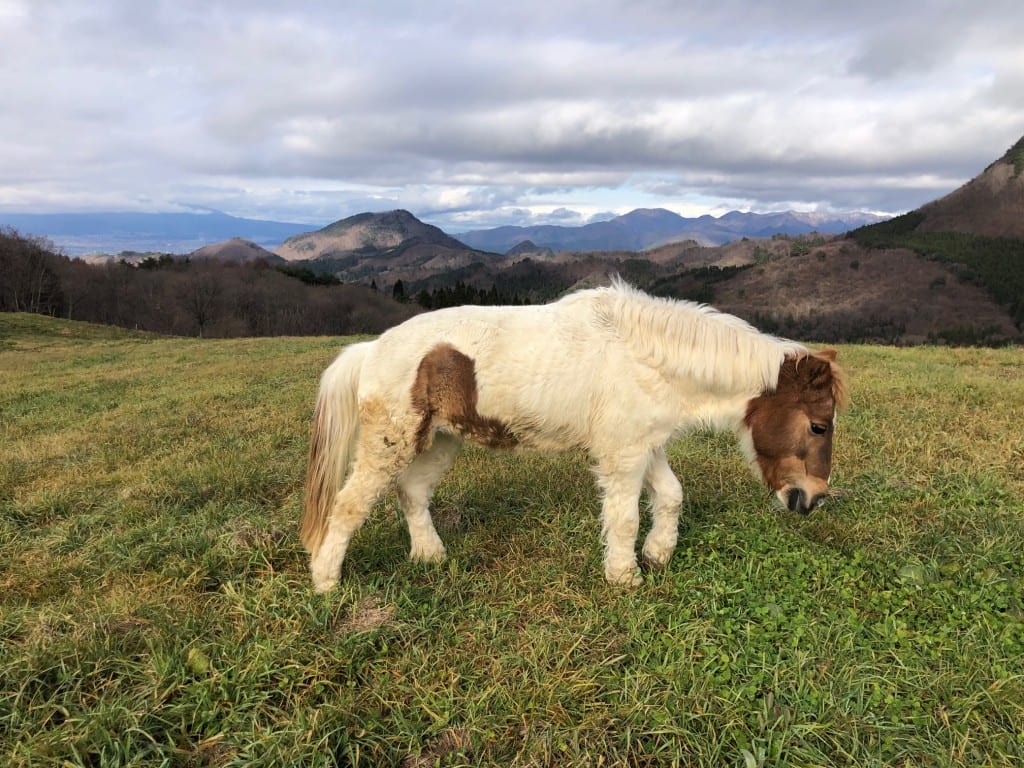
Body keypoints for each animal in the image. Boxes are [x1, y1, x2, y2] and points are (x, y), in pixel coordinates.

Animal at [300, 280, 847, 590]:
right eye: (818, 425)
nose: (812, 498)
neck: (650, 356)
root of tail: (371, 349)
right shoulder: (623, 455)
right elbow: (625, 517)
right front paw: (624, 576)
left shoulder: (644, 445)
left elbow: (670, 496)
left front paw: (657, 555)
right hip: (387, 444)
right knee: (349, 506)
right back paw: (326, 582)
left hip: (440, 440)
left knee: (412, 493)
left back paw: (429, 556)